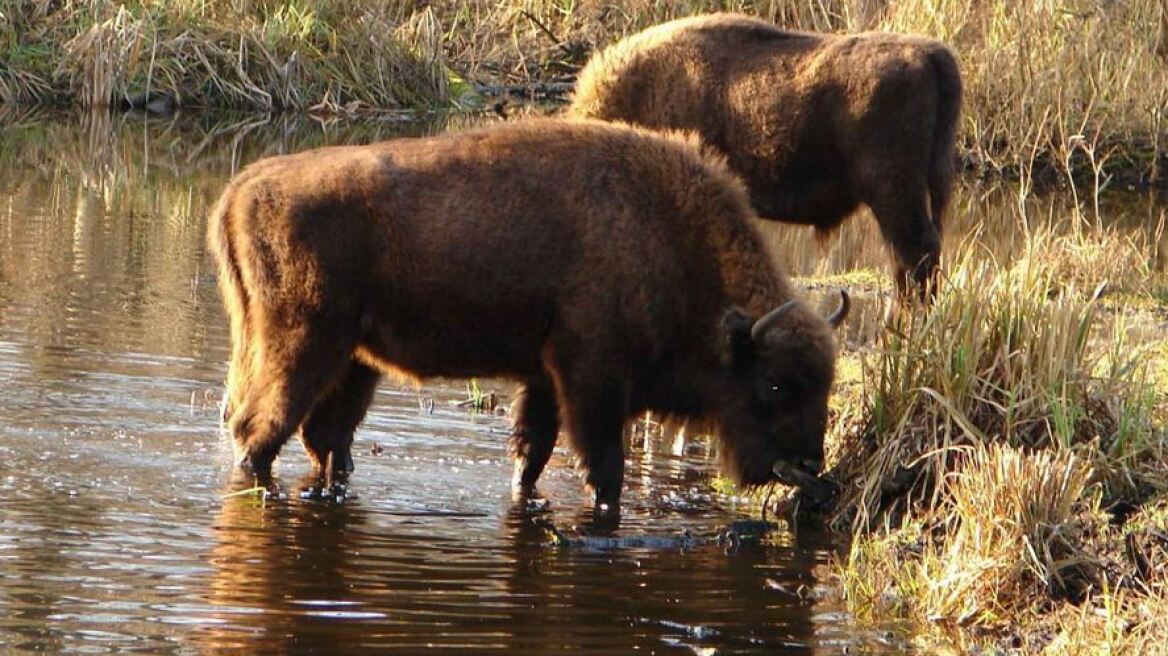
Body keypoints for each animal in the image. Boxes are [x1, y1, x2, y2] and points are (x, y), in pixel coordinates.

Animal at [210, 117, 850, 506]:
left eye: (825, 385)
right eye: (774, 384)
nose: (807, 465)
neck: (665, 233)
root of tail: (242, 187)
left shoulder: (543, 379)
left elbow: (531, 454)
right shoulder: (591, 379)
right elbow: (604, 467)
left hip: (353, 360)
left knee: (324, 438)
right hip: (300, 347)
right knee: (258, 431)